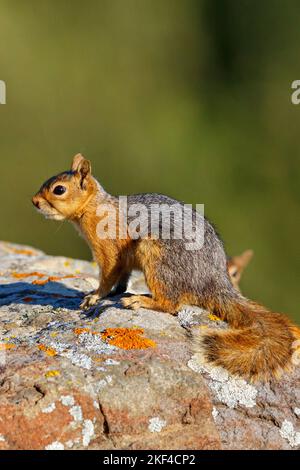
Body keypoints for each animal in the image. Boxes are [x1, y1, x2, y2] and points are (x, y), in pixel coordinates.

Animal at [32, 154, 300, 382]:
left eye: (59, 189)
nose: (34, 202)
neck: (94, 207)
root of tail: (214, 281)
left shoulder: (108, 250)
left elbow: (108, 275)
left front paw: (94, 296)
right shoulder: (123, 260)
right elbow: (122, 276)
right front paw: (114, 291)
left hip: (158, 256)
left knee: (171, 304)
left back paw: (141, 301)